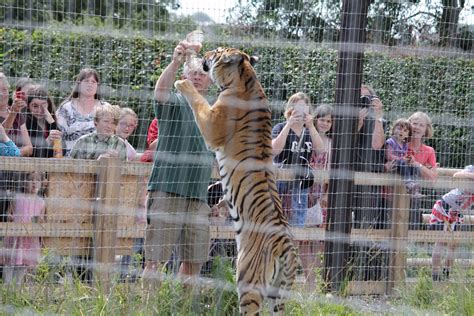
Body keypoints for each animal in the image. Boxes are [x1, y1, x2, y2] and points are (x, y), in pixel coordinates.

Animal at [176, 47, 298, 316]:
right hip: (279, 296)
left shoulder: (211, 126)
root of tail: (286, 246)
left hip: (247, 280)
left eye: (215, 52)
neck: (246, 79)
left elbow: (199, 101)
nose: (204, 52)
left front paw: (183, 82)